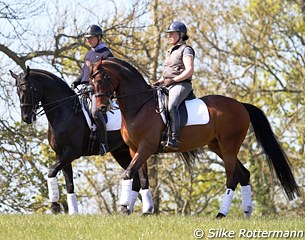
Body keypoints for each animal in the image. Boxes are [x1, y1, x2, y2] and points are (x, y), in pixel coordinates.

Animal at [10, 66, 154, 215]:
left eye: (27, 89)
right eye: (17, 91)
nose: (26, 118)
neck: (64, 112)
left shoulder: (71, 152)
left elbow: (51, 171)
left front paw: (55, 206)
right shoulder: (60, 154)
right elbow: (68, 183)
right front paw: (72, 211)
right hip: (122, 152)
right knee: (135, 178)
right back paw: (128, 209)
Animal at [89, 57, 300, 218]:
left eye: (103, 79)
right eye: (91, 83)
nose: (101, 108)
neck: (139, 105)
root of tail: (240, 105)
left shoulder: (146, 148)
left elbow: (128, 174)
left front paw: (125, 208)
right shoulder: (135, 149)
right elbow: (141, 179)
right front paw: (145, 210)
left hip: (229, 147)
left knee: (232, 178)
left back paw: (221, 214)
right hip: (217, 146)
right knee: (244, 174)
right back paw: (247, 212)